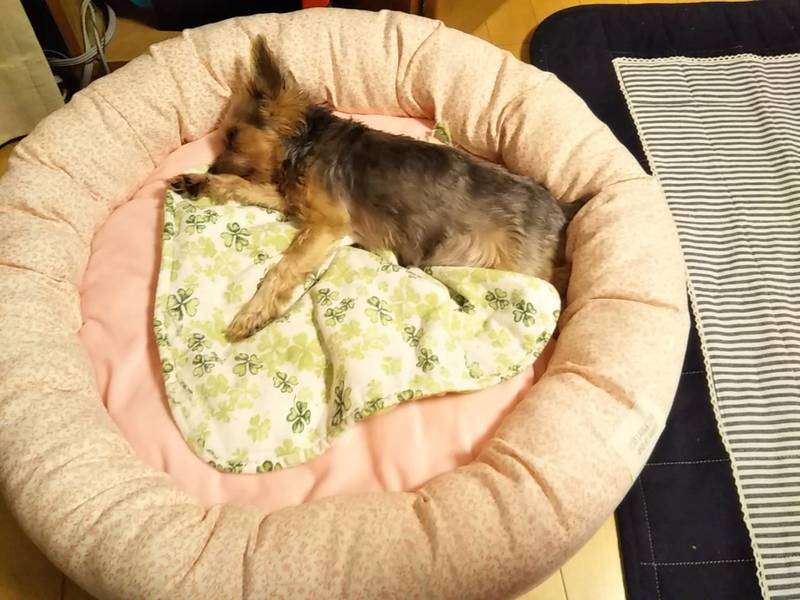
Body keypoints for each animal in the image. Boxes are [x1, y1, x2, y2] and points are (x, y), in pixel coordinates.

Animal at [169, 36, 582, 342]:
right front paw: (199, 182)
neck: (304, 144)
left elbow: (283, 268)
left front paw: (253, 313)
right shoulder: (294, 201)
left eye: (232, 137)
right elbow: (242, 186)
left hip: (521, 266)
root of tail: (561, 209)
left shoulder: (327, 224)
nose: (211, 166)